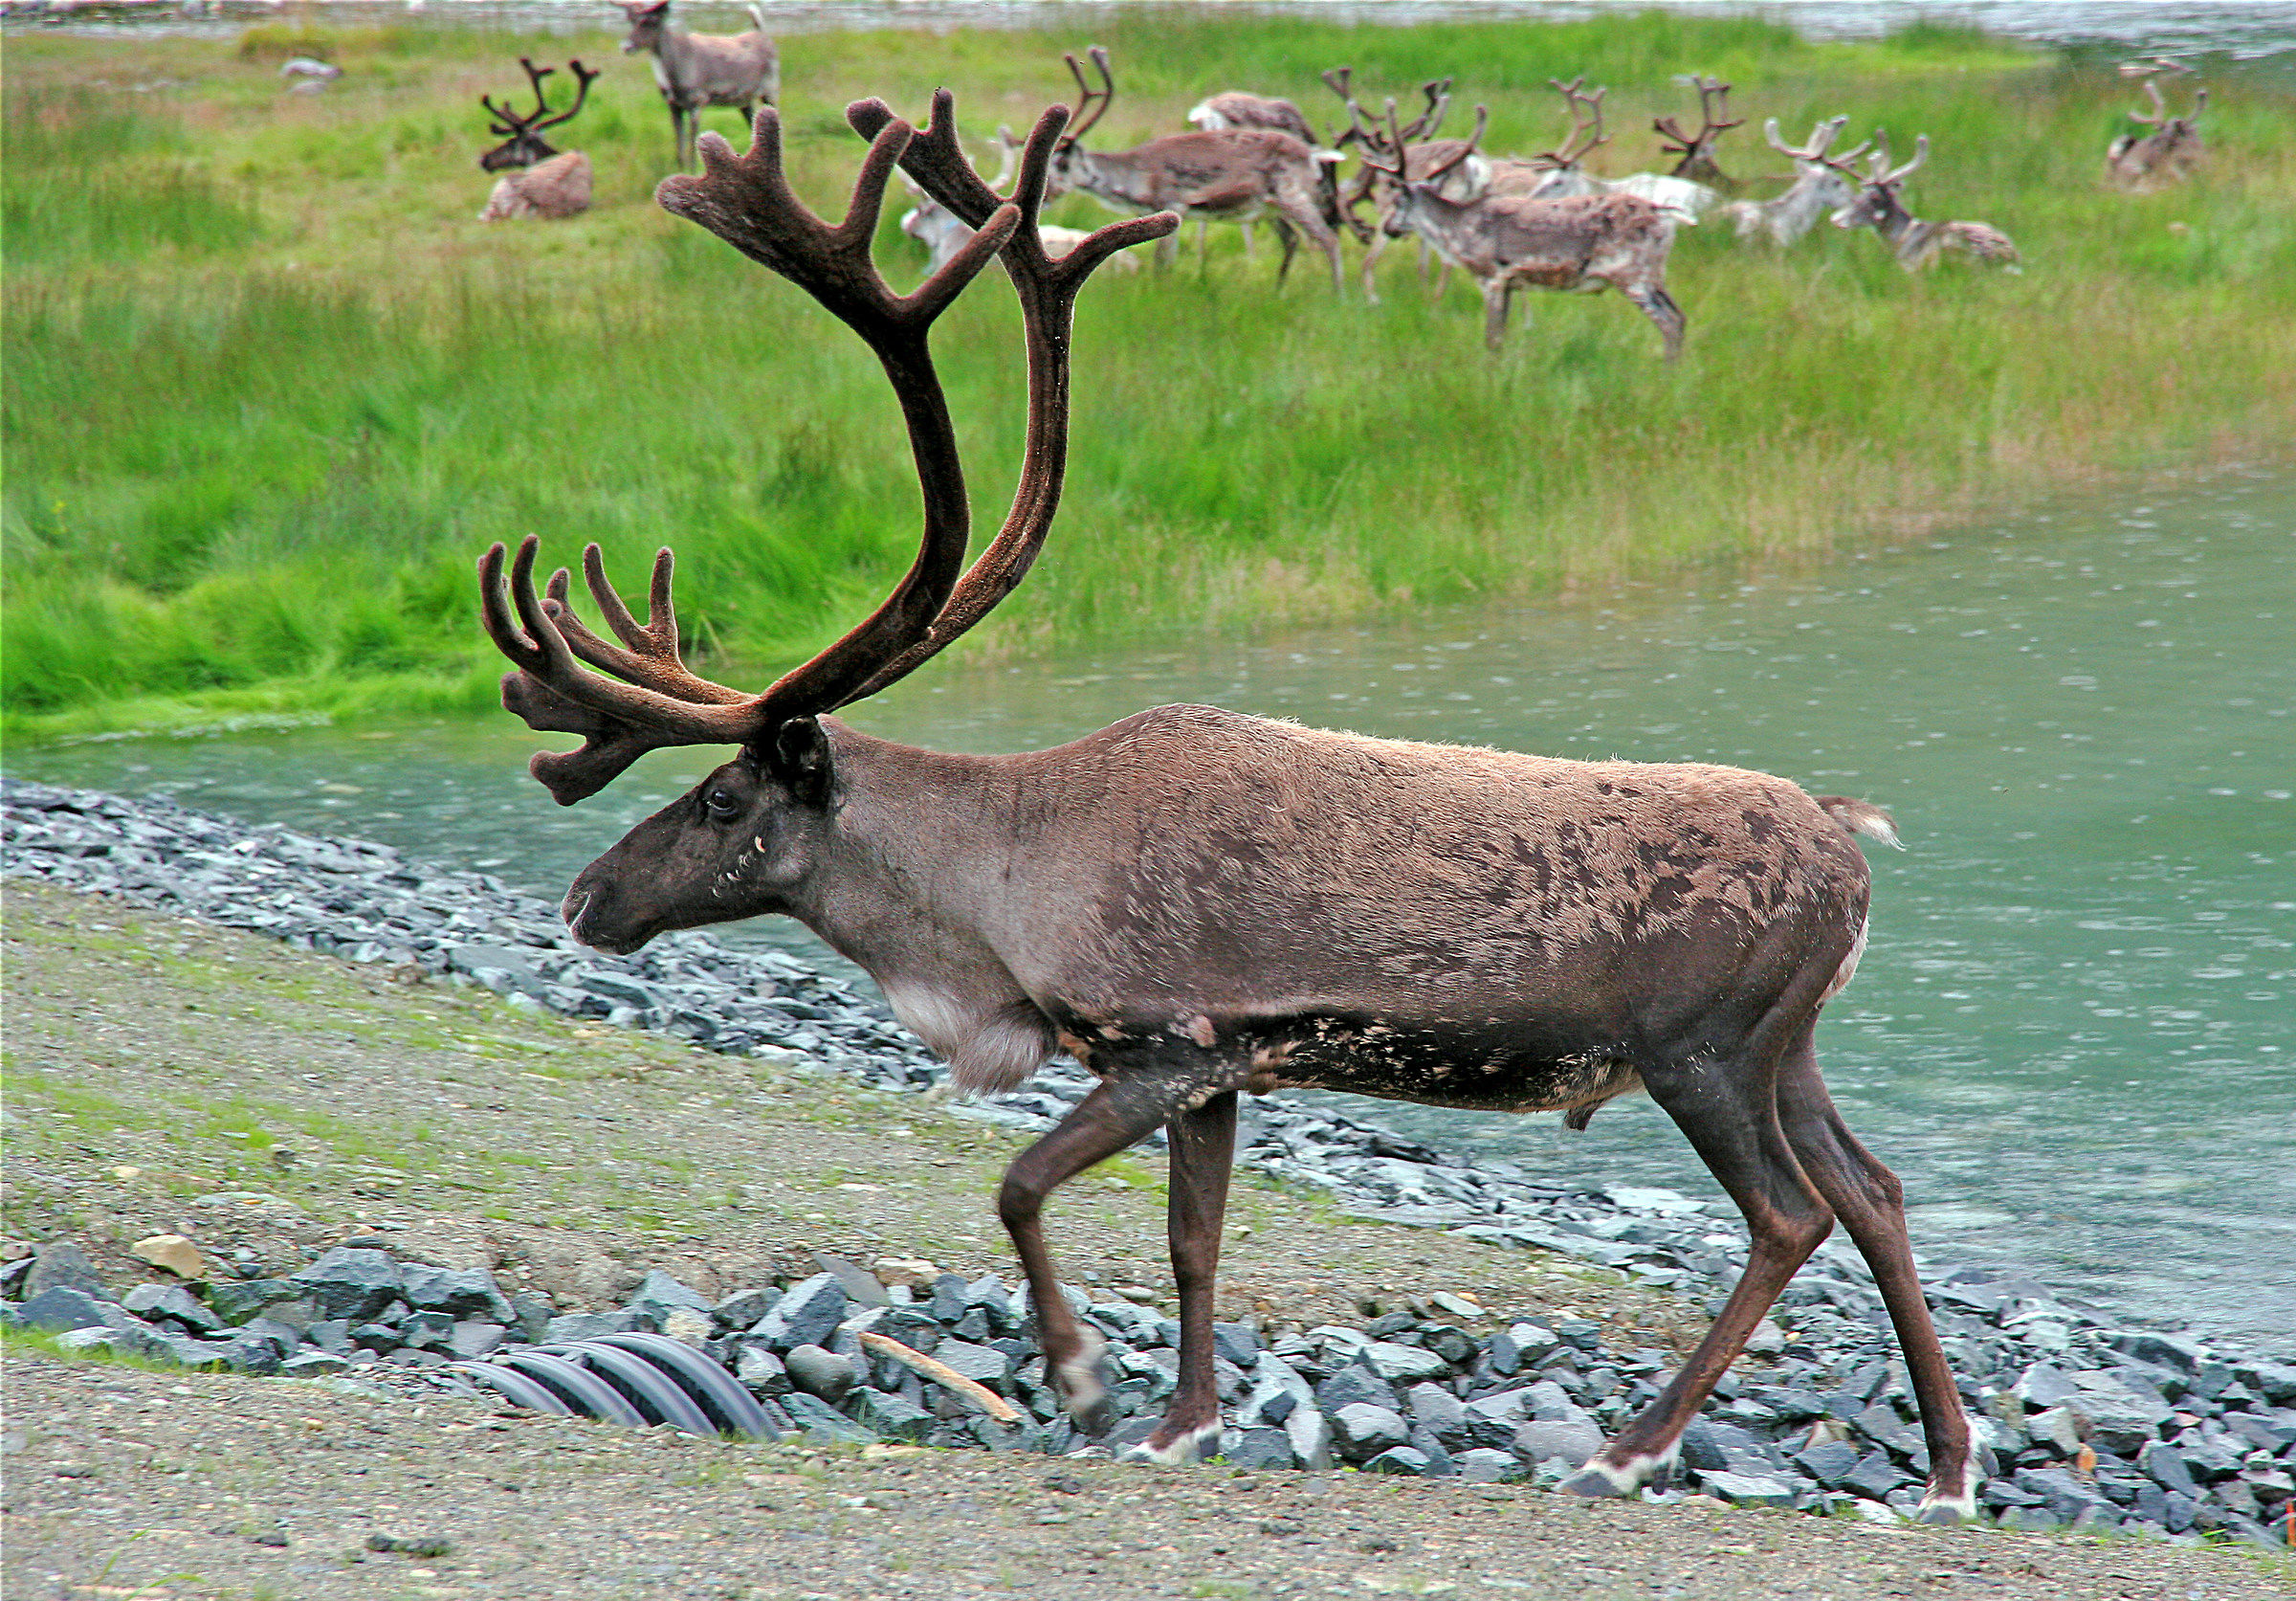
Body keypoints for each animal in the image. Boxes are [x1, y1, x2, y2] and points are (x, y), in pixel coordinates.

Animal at [618, 0, 779, 171]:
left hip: (771, 90)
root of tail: (762, 32)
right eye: (631, 21)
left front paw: (693, 172)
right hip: (744, 101)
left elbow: (692, 148)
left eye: (652, 21)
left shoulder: (697, 101)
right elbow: (679, 150)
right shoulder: (673, 105)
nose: (626, 46)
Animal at [1042, 46, 1346, 292]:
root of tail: (1312, 155)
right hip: (1270, 206)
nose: (1043, 198)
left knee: (1328, 239)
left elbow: (1162, 266)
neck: (1137, 177)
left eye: (1061, 164)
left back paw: (1338, 298)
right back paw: (1278, 291)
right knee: (1292, 238)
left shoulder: (1172, 203)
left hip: (1292, 194)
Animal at [1365, 104, 1687, 359]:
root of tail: (1663, 213)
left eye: (1396, 201)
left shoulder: (1492, 277)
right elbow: (1501, 336)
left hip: (1632, 274)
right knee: (1680, 318)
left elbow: (1492, 339)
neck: (1457, 232)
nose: (1389, 229)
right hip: (1653, 275)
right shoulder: (1510, 283)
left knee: (1669, 323)